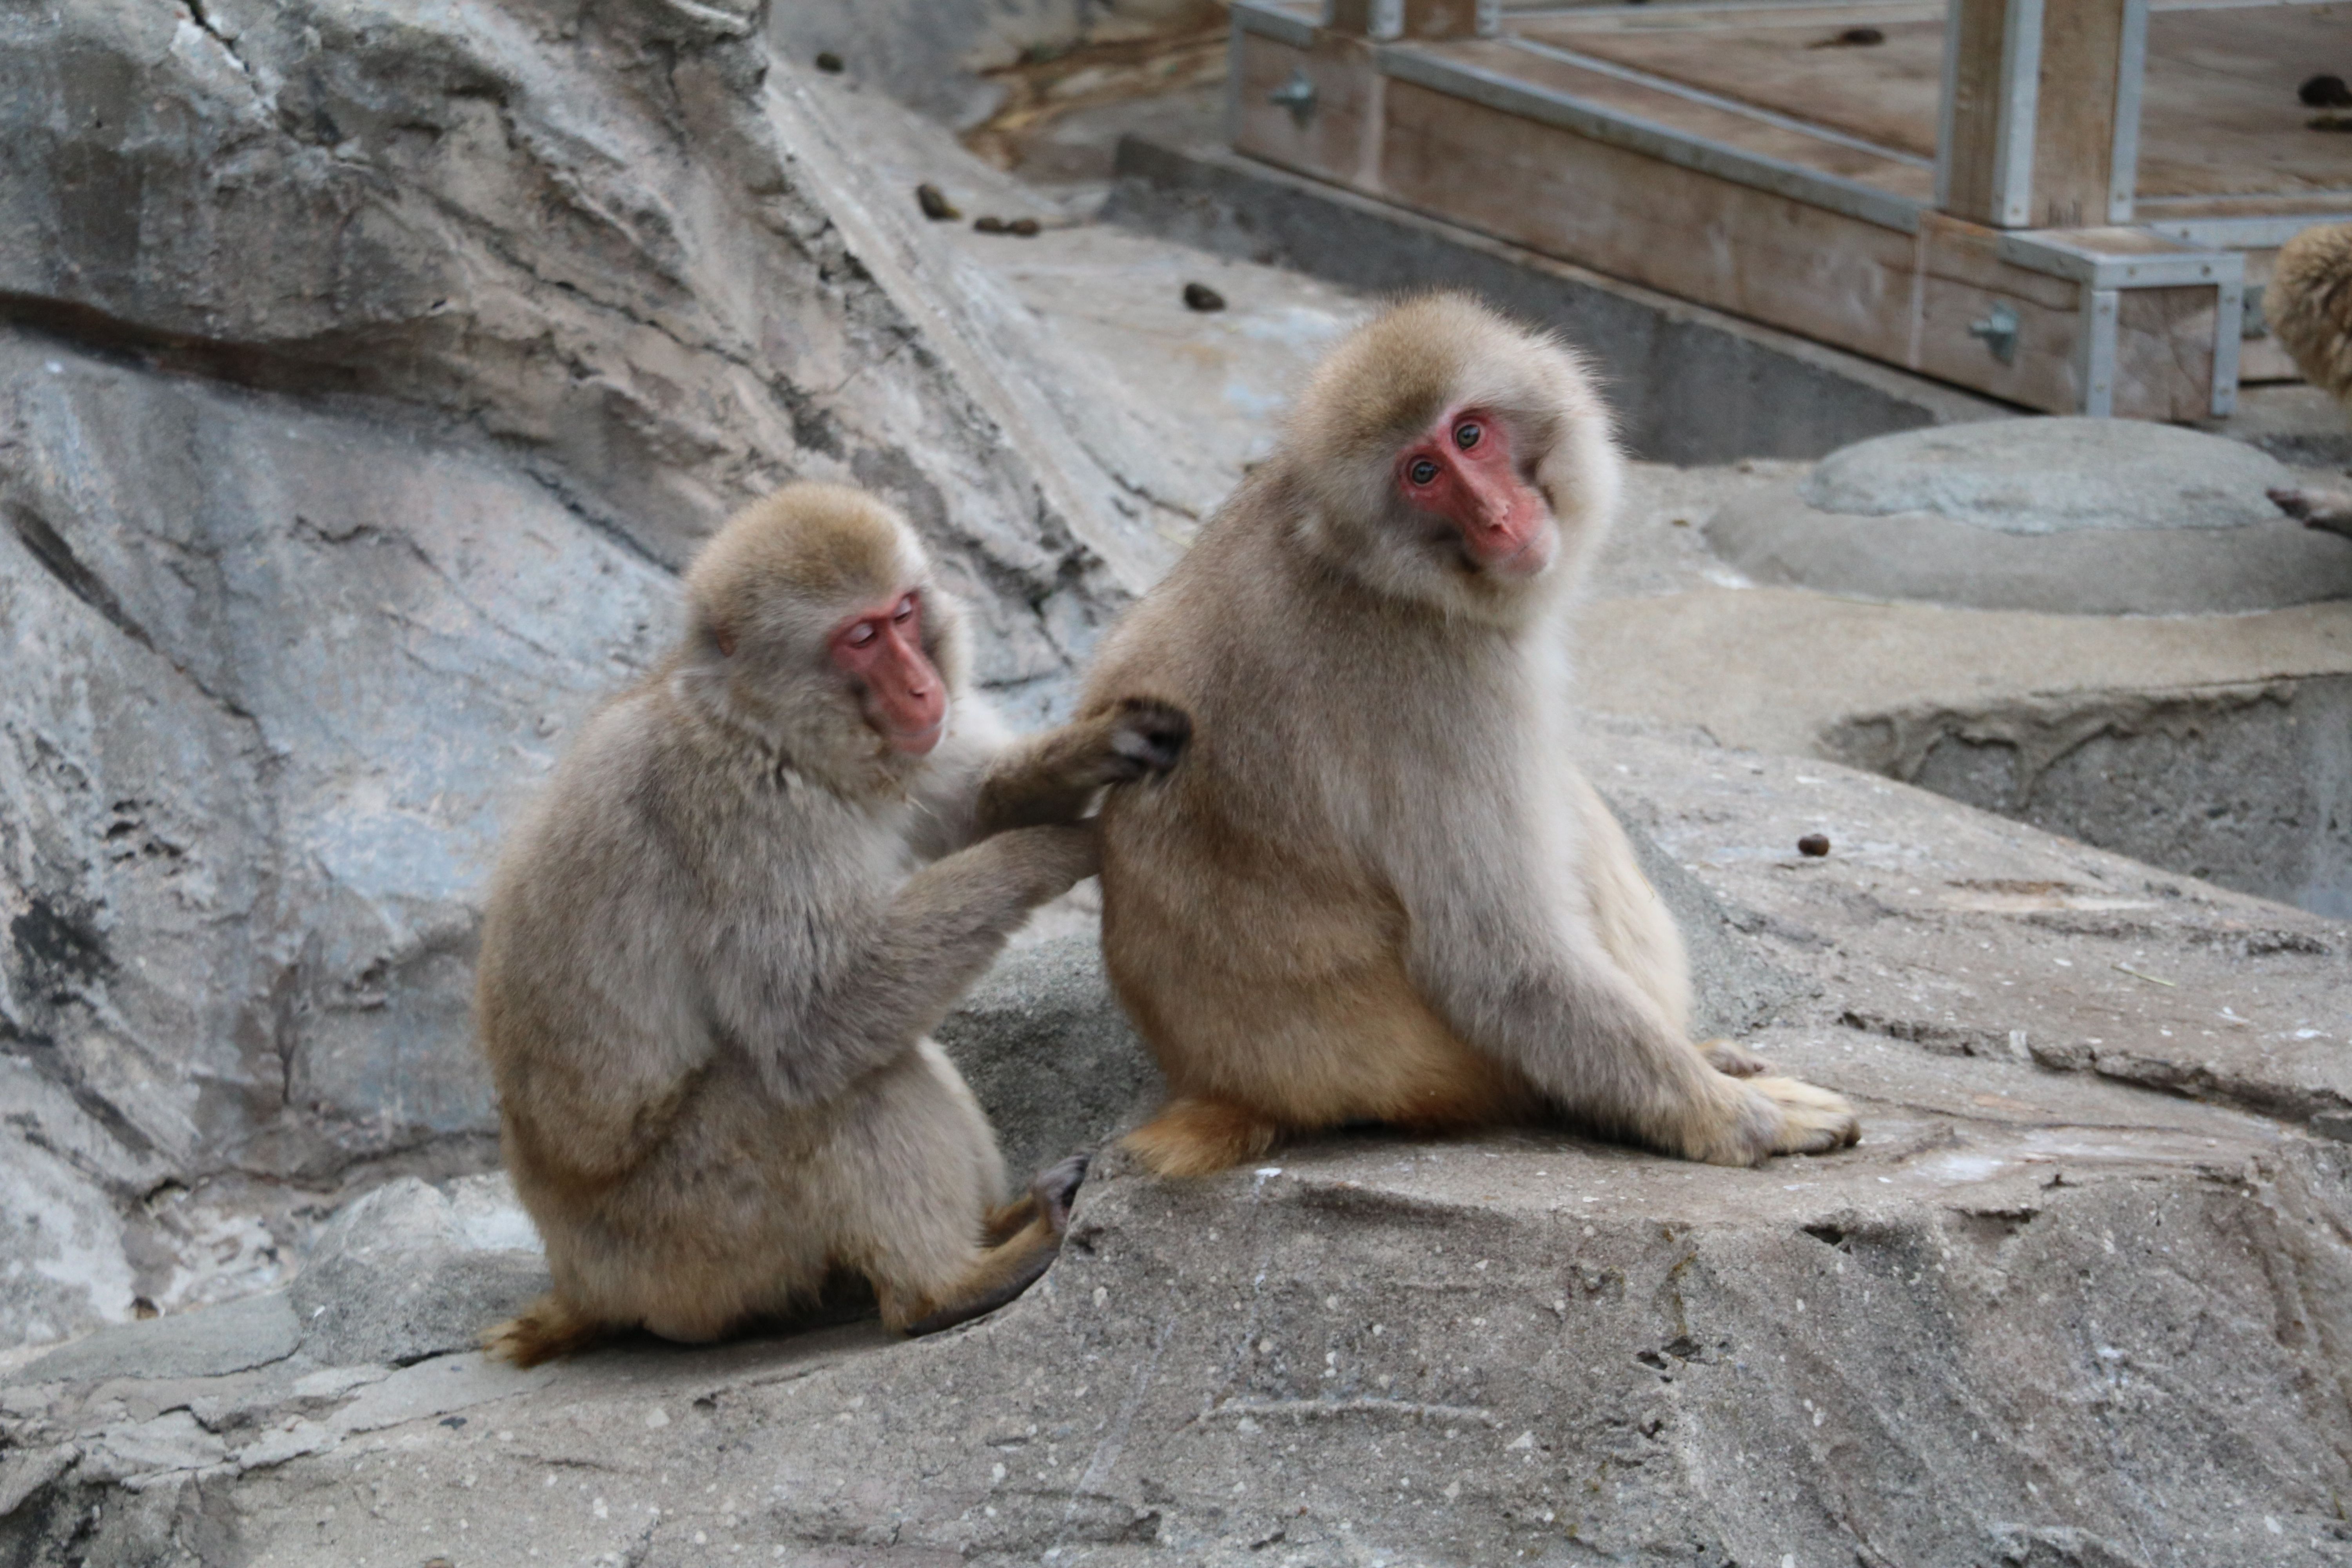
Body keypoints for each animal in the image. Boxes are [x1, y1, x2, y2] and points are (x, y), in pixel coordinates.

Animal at [475, 483, 1188, 1364]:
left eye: (905, 613)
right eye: (861, 638)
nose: (922, 689)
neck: (759, 726)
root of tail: (580, 1284)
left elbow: (969, 806)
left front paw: (1098, 744)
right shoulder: (742, 812)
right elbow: (813, 1016)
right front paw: (1060, 847)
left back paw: (998, 1223)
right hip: (686, 1238)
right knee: (813, 1081)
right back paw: (948, 1285)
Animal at [1074, 294, 1858, 1178]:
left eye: (1470, 435)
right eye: (1422, 475)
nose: (1496, 515)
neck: (1380, 573)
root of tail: (1232, 1088)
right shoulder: (1444, 680)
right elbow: (1498, 956)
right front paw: (1741, 1120)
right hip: (1453, 1069)